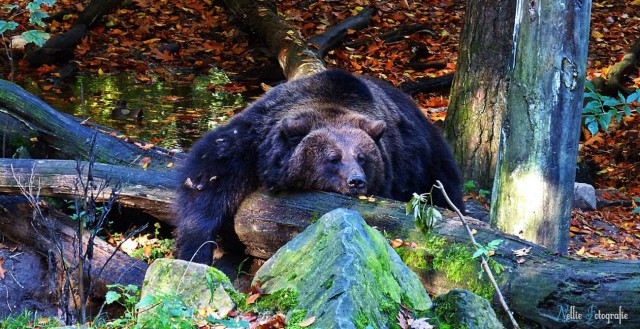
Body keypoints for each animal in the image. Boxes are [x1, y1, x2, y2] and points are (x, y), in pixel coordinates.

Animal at [176, 70, 464, 264]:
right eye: (333, 157)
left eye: (362, 157)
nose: (356, 181)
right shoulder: (253, 138)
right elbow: (209, 180)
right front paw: (196, 250)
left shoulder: (399, 162)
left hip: (429, 159)